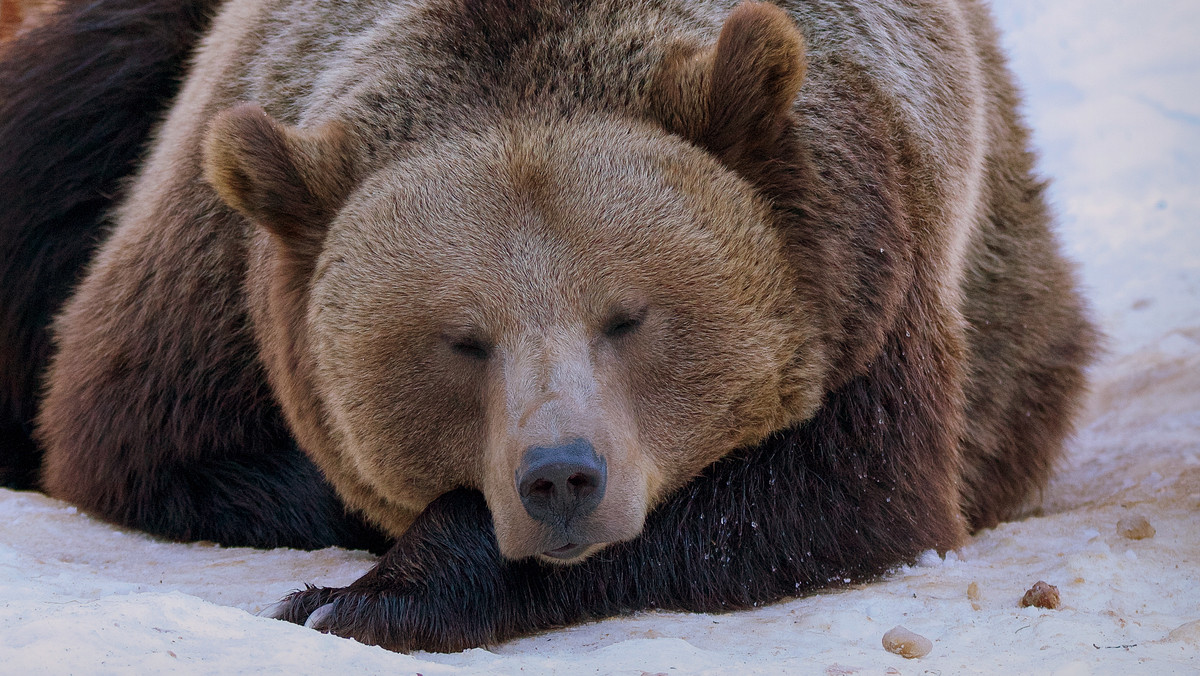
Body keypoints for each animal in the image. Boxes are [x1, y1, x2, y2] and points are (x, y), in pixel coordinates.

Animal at [2, 0, 1099, 657]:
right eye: (460, 338)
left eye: (631, 315)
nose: (562, 475)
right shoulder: (207, 266)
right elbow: (149, 440)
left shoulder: (868, 260)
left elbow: (825, 490)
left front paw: (370, 594)